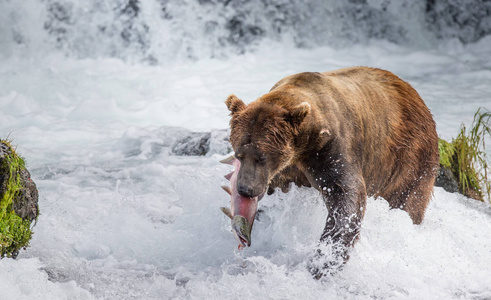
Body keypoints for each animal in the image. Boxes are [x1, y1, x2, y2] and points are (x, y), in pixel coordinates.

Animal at [225, 66, 440, 276]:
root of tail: (416, 95)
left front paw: (323, 259)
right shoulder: (288, 171)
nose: (246, 189)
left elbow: (345, 195)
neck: (304, 145)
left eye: (261, 157)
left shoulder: (332, 150)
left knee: (408, 200)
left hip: (409, 157)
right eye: (238, 154)